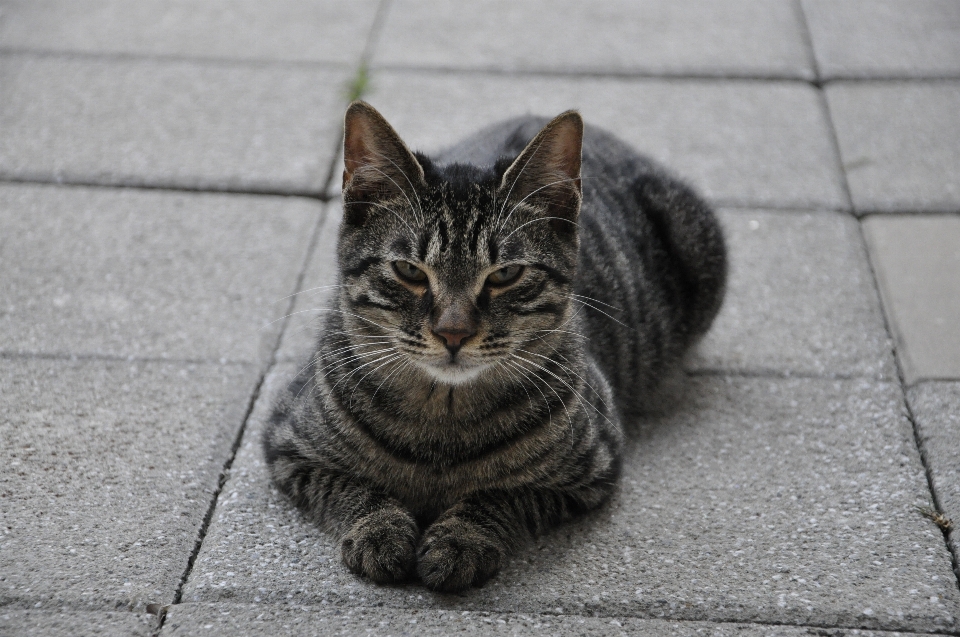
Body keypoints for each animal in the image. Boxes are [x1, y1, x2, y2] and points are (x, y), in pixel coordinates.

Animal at [258, 99, 724, 592]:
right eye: (409, 270)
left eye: (505, 274)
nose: (453, 333)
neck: (440, 427)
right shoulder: (288, 443)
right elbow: (353, 488)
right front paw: (379, 529)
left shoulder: (592, 468)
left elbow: (501, 498)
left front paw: (460, 539)